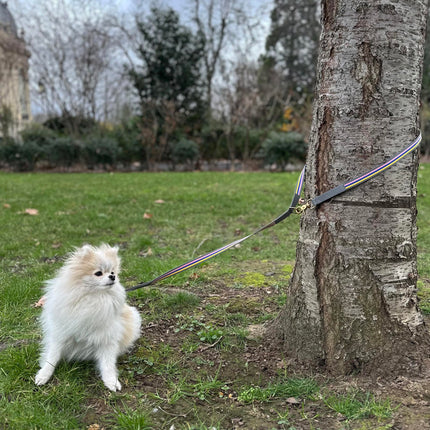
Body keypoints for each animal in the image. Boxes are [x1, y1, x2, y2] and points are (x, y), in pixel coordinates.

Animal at [34, 244, 141, 392]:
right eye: (98, 273)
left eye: (112, 271)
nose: (112, 276)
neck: (94, 299)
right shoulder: (60, 334)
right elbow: (52, 357)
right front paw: (44, 375)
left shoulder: (107, 338)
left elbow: (108, 364)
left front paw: (111, 381)